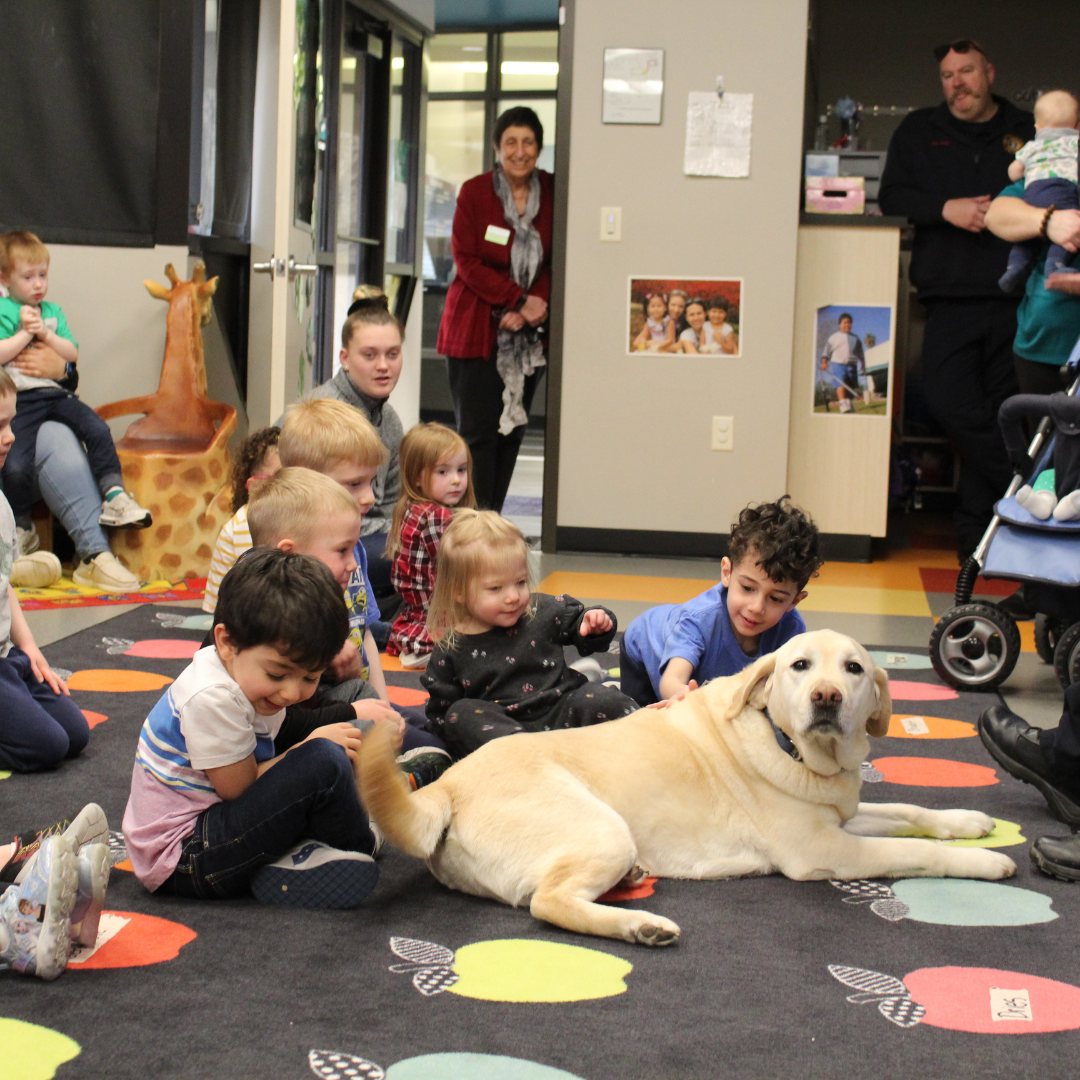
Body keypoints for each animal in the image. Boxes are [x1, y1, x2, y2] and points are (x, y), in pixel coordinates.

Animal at [360, 630, 1010, 941]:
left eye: (853, 669)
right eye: (799, 666)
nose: (826, 697)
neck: (795, 749)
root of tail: (446, 786)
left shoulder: (843, 816)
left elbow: (909, 808)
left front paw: (972, 825)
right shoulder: (826, 849)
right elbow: (910, 850)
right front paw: (984, 864)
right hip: (603, 827)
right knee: (549, 904)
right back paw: (642, 926)